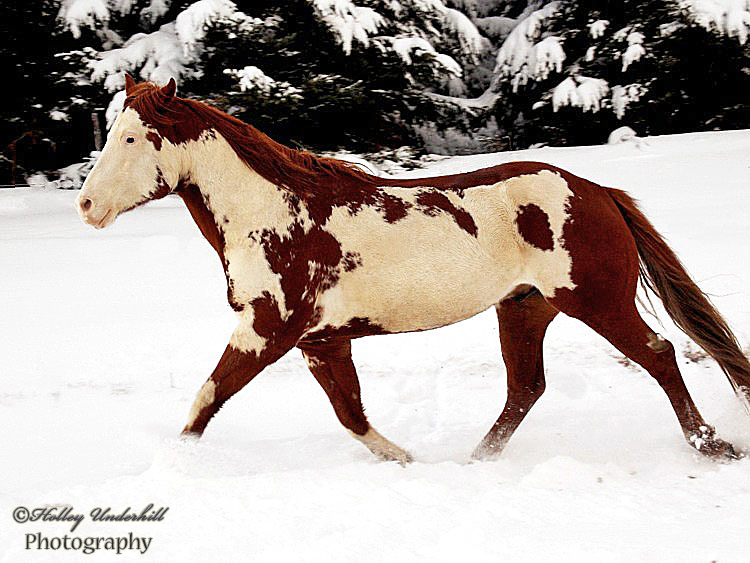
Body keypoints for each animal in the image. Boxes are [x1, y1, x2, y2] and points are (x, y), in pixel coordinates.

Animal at [76, 77, 750, 464]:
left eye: (132, 138)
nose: (86, 205)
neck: (271, 213)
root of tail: (598, 192)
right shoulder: (320, 341)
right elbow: (350, 414)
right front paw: (404, 460)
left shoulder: (269, 329)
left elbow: (207, 398)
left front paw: (176, 467)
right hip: (525, 308)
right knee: (526, 387)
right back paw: (475, 462)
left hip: (596, 300)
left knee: (659, 354)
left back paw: (712, 445)